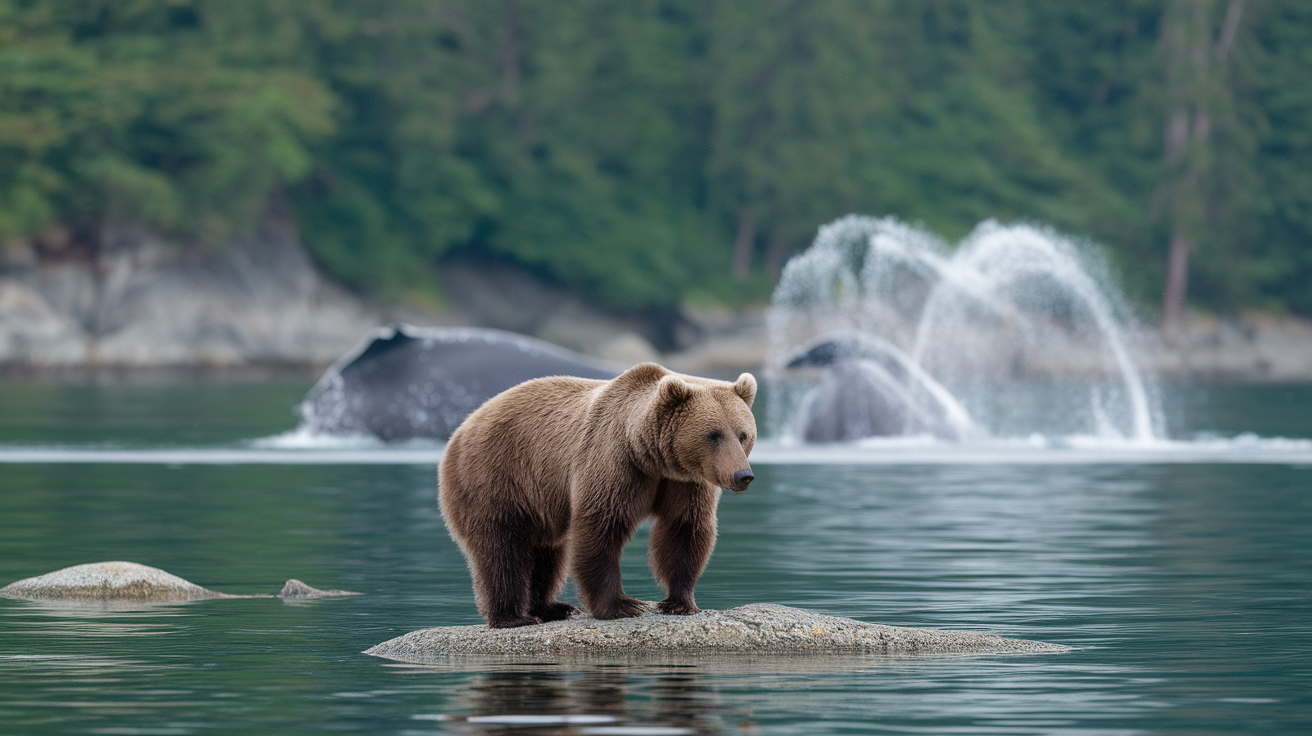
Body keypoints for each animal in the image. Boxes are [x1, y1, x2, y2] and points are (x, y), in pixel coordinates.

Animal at [438, 362, 760, 624]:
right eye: (713, 434)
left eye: (743, 434)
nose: (742, 475)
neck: (650, 456)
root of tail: (462, 427)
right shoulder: (614, 462)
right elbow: (601, 526)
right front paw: (622, 605)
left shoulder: (685, 482)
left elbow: (684, 529)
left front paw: (680, 602)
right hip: (496, 475)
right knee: (503, 549)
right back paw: (514, 617)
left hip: (537, 498)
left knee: (546, 551)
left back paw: (551, 607)